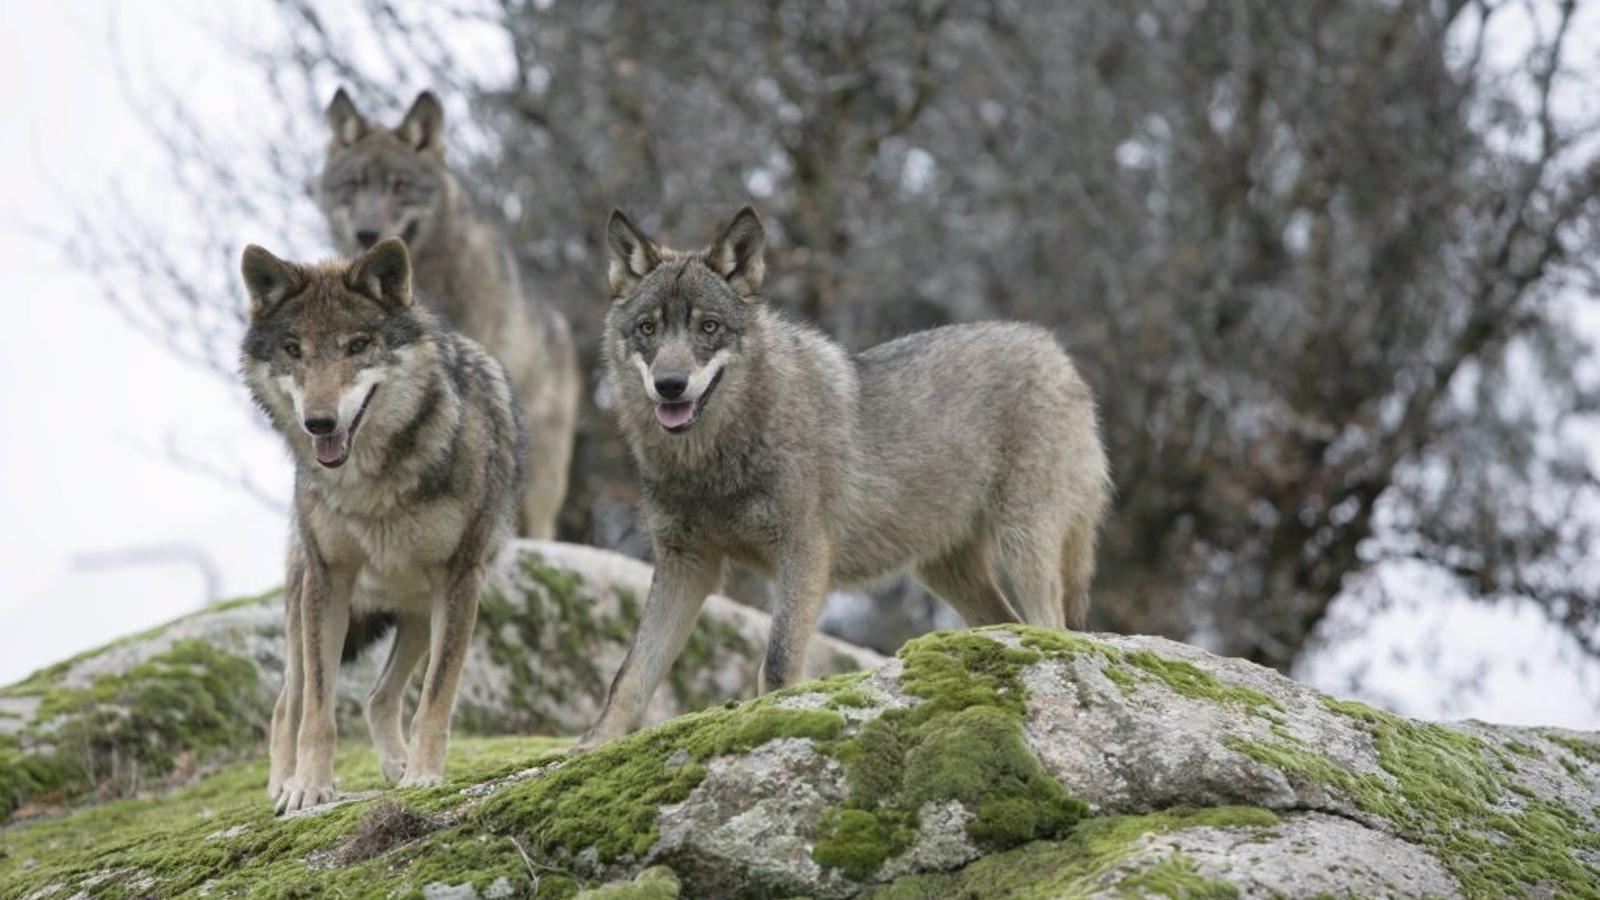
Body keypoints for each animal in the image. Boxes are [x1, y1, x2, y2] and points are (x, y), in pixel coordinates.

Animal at [240, 238, 525, 813]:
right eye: (293, 349)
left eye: (357, 345)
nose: (319, 423)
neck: (371, 484)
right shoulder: (329, 580)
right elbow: (319, 709)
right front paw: (309, 788)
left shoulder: (460, 580)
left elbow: (435, 697)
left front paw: (423, 776)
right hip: (304, 606)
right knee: (288, 703)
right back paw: (282, 783)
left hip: (418, 612)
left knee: (378, 696)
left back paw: (398, 765)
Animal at [581, 207, 1112, 746]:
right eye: (648, 328)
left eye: (708, 326)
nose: (670, 386)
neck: (711, 461)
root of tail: (1056, 352)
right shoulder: (686, 564)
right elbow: (629, 676)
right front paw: (592, 746)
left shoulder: (803, 552)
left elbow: (777, 664)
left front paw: (770, 721)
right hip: (945, 571)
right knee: (1010, 624)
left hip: (1023, 543)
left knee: (1052, 627)